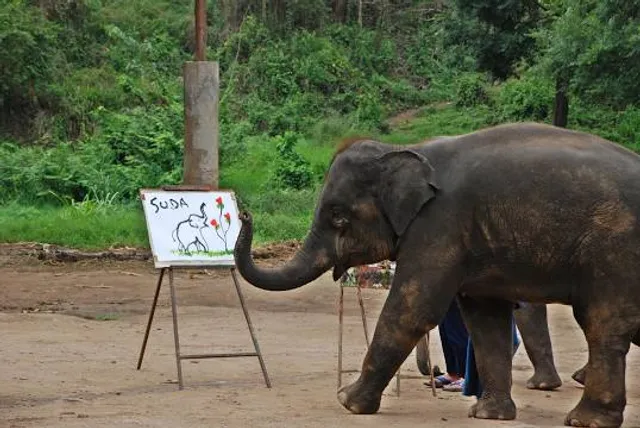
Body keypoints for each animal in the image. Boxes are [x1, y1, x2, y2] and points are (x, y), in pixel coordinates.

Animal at [234, 122, 640, 428]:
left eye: (337, 215)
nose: (244, 212)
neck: (406, 150)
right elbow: (485, 318)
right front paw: (488, 415)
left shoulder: (440, 224)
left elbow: (412, 308)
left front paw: (347, 402)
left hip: (615, 248)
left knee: (602, 324)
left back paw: (585, 420)